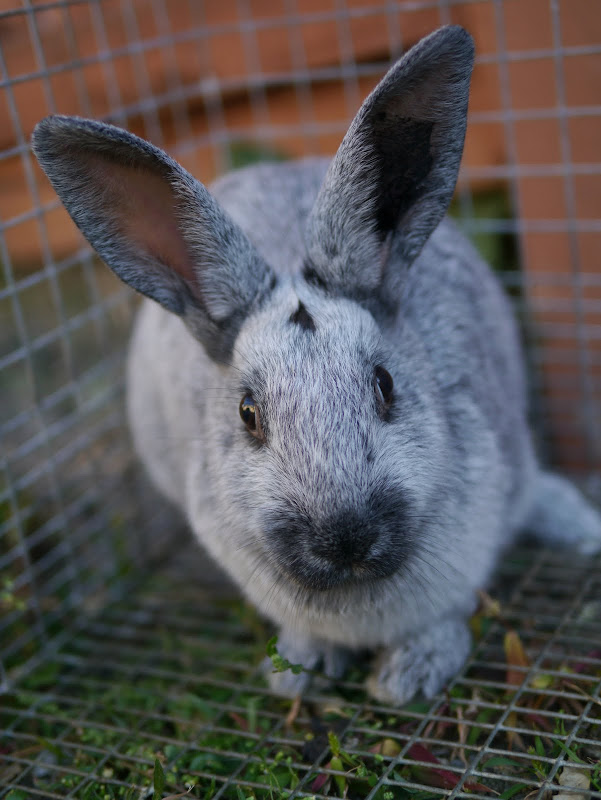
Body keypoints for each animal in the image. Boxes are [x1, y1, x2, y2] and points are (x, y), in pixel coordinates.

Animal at [32, 25, 601, 705]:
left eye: (385, 386)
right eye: (248, 413)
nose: (345, 537)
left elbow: (445, 615)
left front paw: (408, 677)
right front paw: (296, 674)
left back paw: (579, 528)